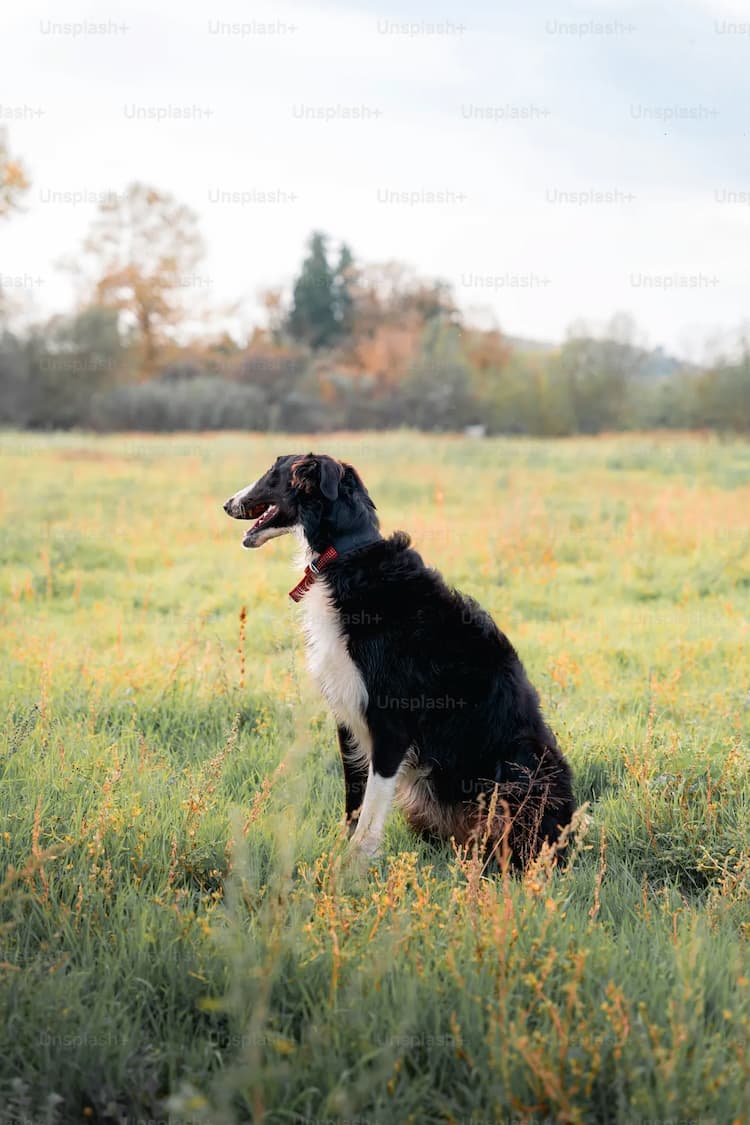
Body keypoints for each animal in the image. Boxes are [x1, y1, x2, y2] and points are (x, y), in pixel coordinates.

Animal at [222, 452, 575, 864]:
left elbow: (370, 811)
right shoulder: (347, 717)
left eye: (272, 473)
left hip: (521, 762)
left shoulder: (391, 722)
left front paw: (353, 864)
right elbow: (353, 801)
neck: (346, 557)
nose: (227, 504)